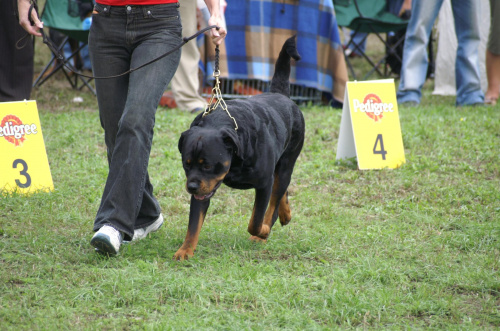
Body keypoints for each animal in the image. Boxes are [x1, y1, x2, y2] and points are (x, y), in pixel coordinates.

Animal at [176, 35, 304, 260]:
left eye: (207, 165)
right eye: (186, 164)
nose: (191, 187)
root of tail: (279, 94)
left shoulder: (263, 184)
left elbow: (256, 220)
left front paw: (262, 231)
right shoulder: (203, 189)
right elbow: (193, 224)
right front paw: (185, 250)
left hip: (287, 162)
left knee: (278, 191)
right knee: (282, 191)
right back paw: (285, 213)